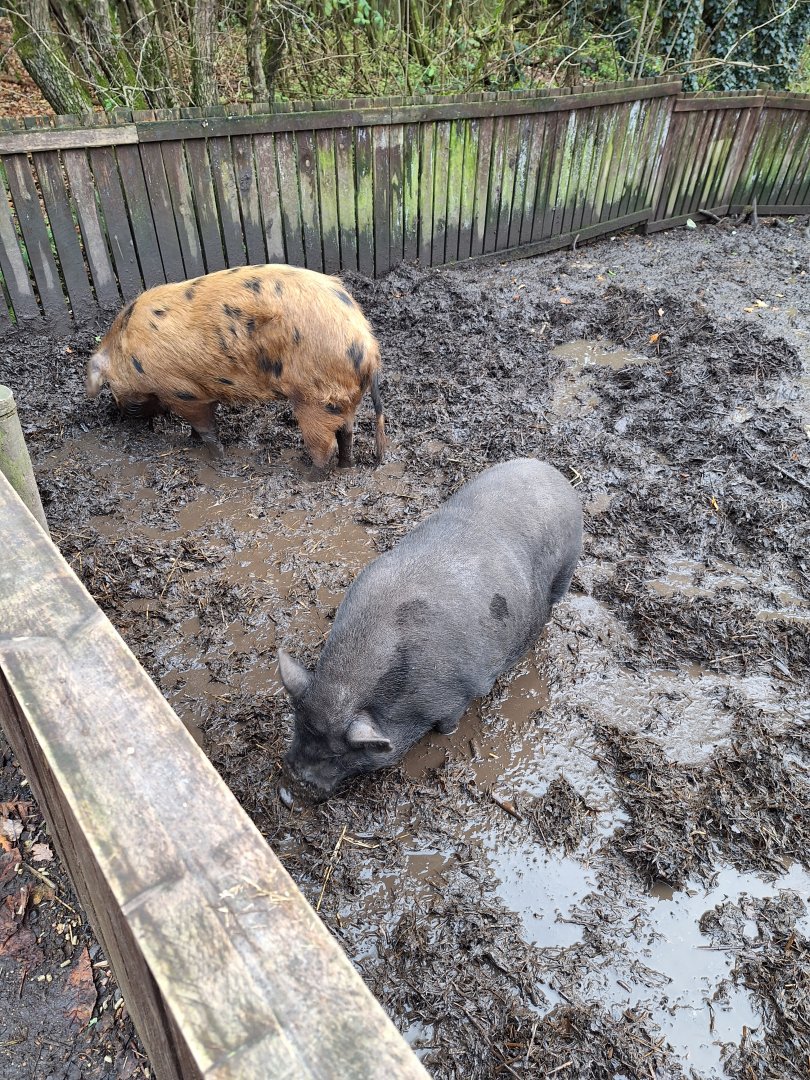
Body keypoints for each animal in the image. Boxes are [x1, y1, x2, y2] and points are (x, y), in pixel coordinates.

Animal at [86, 264, 385, 467]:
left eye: (109, 385)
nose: (124, 414)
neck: (129, 353)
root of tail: (368, 346)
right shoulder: (203, 390)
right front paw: (191, 441)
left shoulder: (182, 391)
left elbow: (206, 428)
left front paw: (216, 459)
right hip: (343, 398)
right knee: (347, 434)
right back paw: (345, 467)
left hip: (316, 398)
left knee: (325, 446)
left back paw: (308, 474)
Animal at [277, 458, 583, 801]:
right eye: (297, 725)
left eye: (337, 754)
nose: (292, 781)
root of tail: (554, 474)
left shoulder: (460, 692)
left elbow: (448, 721)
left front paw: (446, 732)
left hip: (569, 561)